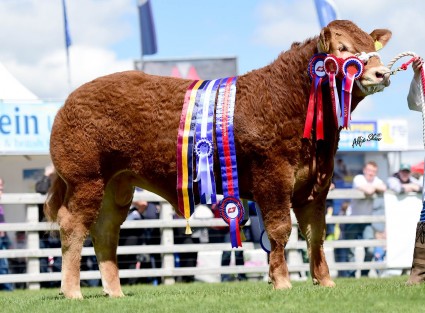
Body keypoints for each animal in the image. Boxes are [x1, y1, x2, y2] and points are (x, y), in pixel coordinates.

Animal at [46, 19, 390, 298]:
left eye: (370, 45)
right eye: (343, 49)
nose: (381, 73)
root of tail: (70, 101)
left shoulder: (317, 182)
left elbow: (315, 233)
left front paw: (325, 281)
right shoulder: (273, 176)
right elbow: (280, 229)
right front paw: (281, 281)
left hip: (117, 185)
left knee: (105, 232)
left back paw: (114, 291)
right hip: (86, 179)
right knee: (73, 227)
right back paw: (72, 291)